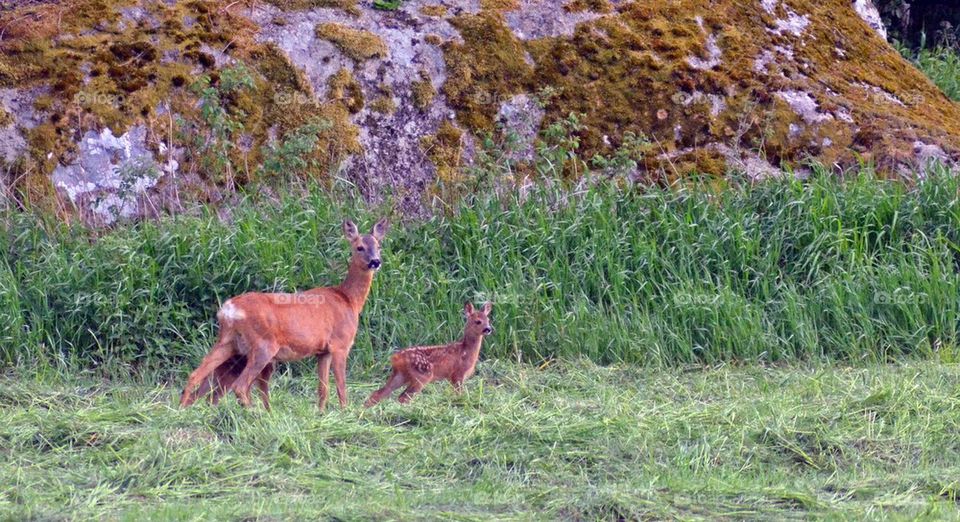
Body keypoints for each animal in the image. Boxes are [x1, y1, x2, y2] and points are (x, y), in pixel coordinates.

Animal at [180, 218, 389, 410]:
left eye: (379, 246)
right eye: (360, 247)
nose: (375, 262)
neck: (349, 300)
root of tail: (228, 309)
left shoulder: (322, 351)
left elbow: (323, 389)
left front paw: (321, 414)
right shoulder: (340, 344)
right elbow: (341, 387)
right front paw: (345, 413)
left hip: (228, 342)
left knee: (196, 374)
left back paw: (182, 410)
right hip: (263, 345)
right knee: (240, 386)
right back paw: (256, 414)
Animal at [364, 301, 493, 407]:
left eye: (488, 320)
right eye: (478, 321)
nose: (488, 329)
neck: (466, 350)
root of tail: (396, 358)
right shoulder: (457, 374)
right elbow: (458, 393)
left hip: (400, 375)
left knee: (380, 393)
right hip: (423, 375)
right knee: (404, 396)